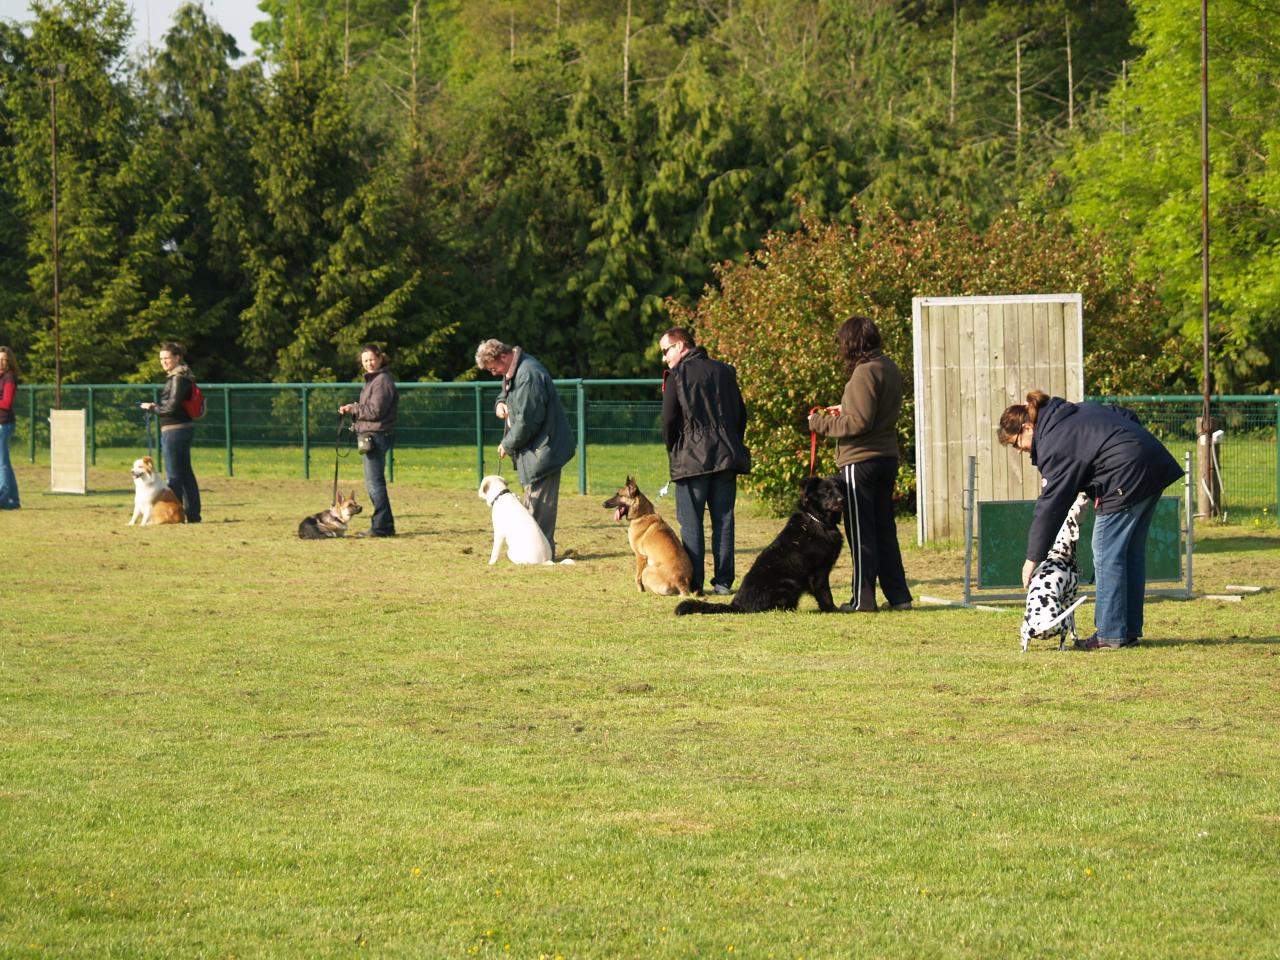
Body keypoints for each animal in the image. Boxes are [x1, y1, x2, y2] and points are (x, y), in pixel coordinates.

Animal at [675, 478, 844, 619]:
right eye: (826, 491)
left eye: (838, 488)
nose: (842, 499)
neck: (817, 520)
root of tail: (737, 605)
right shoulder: (819, 572)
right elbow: (825, 594)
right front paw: (832, 609)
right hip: (789, 584)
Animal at [1018, 496, 1090, 655]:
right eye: (1077, 507)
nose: (1083, 495)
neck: (1061, 553)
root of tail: (1041, 625)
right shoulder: (1070, 600)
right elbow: (1074, 629)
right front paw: (1076, 640)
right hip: (1064, 621)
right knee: (1062, 641)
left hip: (1024, 628)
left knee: (1025, 642)